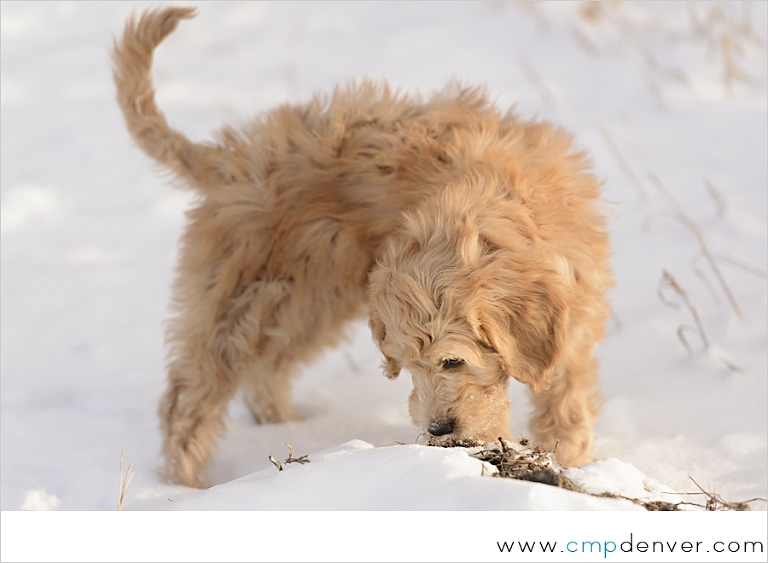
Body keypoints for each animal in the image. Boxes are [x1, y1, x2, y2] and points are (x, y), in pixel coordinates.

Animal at [111, 7, 612, 490]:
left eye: (453, 361)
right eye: (408, 365)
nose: (438, 430)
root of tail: (229, 162)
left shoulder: (575, 320)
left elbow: (567, 399)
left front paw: (571, 459)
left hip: (304, 300)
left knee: (267, 369)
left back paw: (285, 426)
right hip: (243, 296)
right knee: (189, 397)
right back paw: (184, 486)